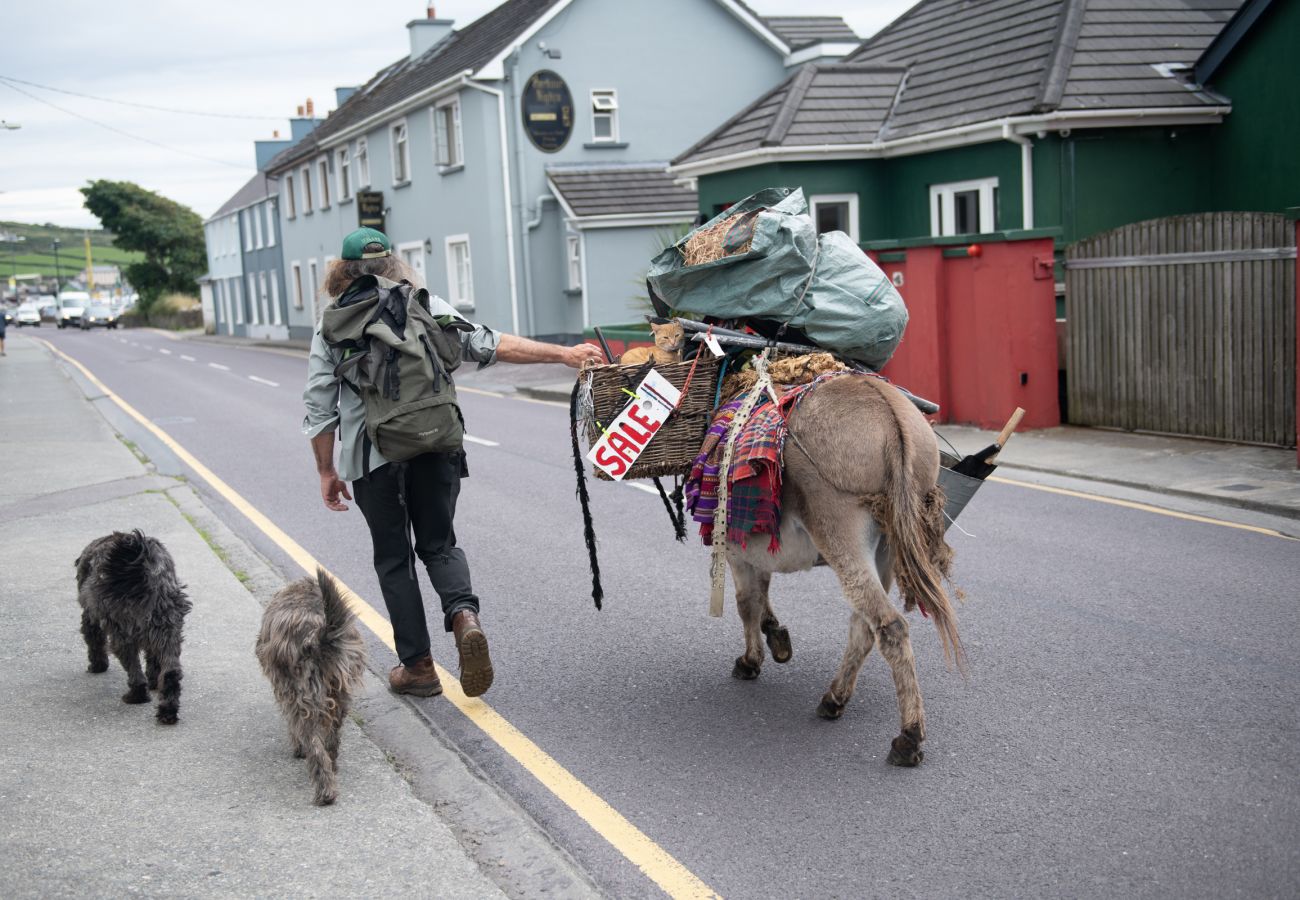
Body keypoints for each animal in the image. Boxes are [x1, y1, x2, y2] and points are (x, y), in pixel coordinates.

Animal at [76, 528, 192, 723]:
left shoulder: (91, 616)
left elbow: (94, 641)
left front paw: (98, 666)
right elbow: (153, 659)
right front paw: (154, 680)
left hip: (123, 634)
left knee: (135, 672)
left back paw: (136, 696)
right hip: (167, 628)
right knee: (171, 671)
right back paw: (167, 711)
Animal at [256, 567, 366, 806]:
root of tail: (316, 636)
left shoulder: (285, 691)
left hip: (301, 696)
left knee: (313, 743)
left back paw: (325, 792)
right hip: (339, 692)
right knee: (332, 737)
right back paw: (332, 766)